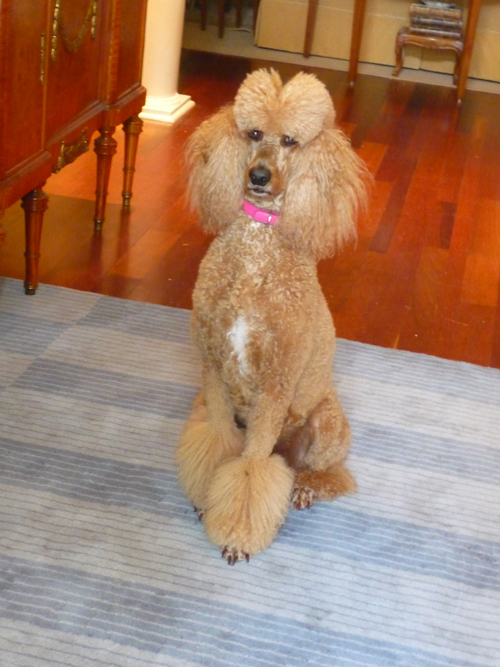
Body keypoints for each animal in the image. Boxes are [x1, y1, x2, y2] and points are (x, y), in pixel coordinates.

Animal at [176, 69, 368, 564]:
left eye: (291, 141)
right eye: (253, 134)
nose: (258, 176)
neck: (256, 249)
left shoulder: (275, 386)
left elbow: (252, 467)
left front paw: (236, 537)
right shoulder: (213, 370)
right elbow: (218, 444)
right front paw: (206, 499)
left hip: (325, 425)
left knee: (330, 474)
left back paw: (303, 489)